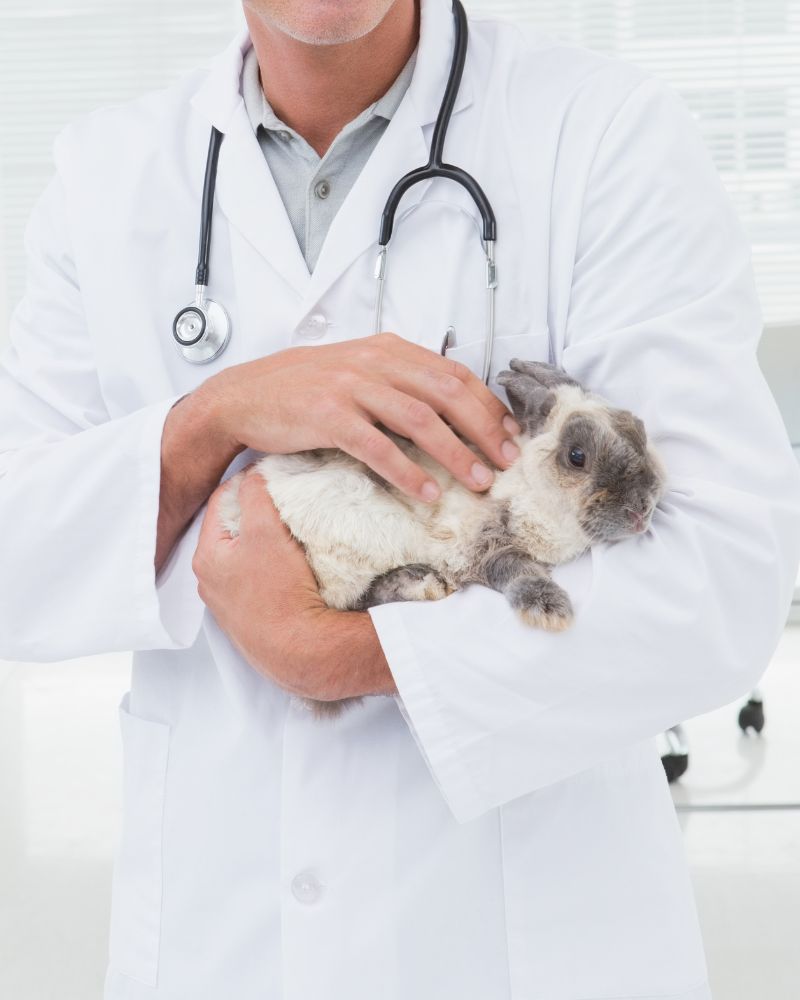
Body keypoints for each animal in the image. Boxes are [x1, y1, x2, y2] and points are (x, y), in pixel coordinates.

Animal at [217, 360, 668, 720]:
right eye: (577, 457)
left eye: (640, 430)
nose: (642, 509)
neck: (525, 483)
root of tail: (233, 515)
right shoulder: (479, 546)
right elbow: (516, 569)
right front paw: (549, 610)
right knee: (357, 599)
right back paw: (421, 583)